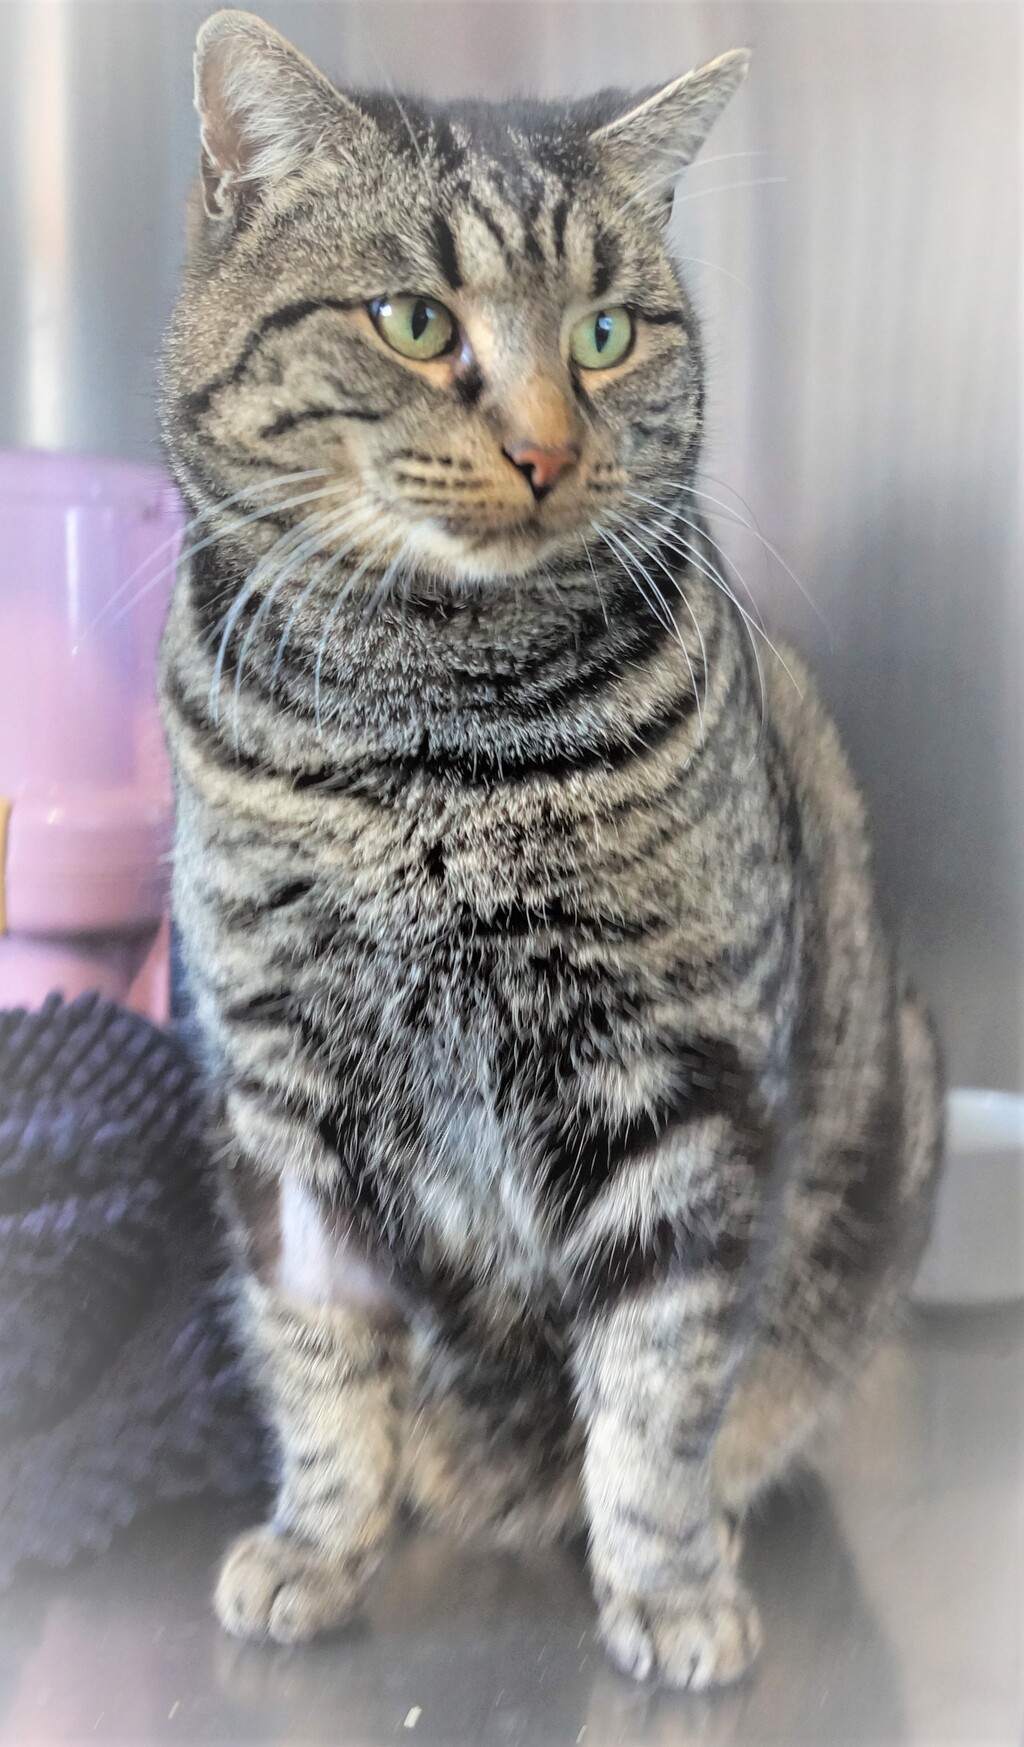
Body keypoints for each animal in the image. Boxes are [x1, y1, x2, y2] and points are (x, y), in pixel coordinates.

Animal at [158, 9, 942, 1690]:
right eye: (412, 320)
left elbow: (657, 1382)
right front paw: (321, 1540)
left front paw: (665, 1583)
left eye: (603, 333)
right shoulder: (282, 1094)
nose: (540, 446)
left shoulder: (680, 1086)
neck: (429, 747)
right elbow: (322, 1360)